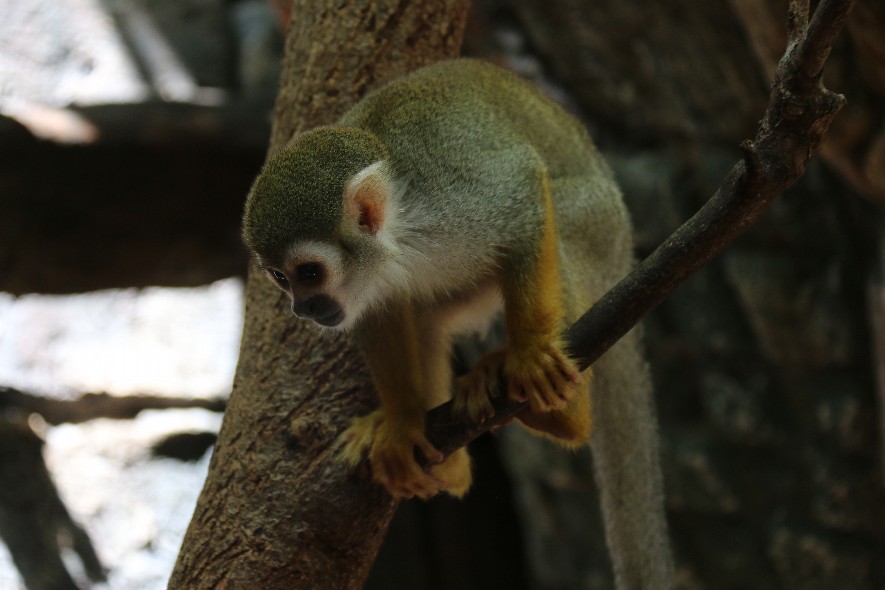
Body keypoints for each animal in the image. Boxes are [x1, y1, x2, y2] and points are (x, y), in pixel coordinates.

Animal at [242, 59, 672, 587]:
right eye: (281, 278)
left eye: (308, 273)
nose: (302, 309)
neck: (399, 236)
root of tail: (625, 247)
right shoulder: (362, 285)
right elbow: (381, 314)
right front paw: (403, 421)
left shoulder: (456, 202)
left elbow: (524, 186)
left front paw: (531, 352)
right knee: (426, 311)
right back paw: (451, 467)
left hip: (599, 228)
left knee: (561, 218)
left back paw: (565, 416)